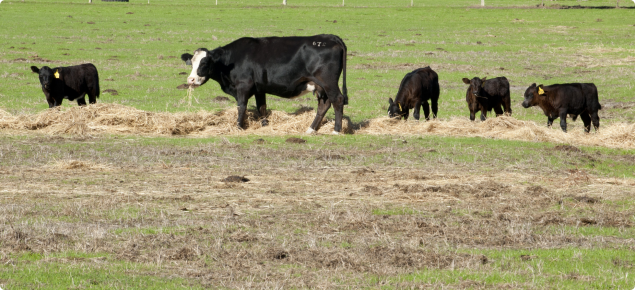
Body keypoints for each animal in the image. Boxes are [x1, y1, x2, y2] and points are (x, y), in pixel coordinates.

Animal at [180, 34, 348, 134]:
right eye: (192, 63)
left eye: (204, 63)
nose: (191, 80)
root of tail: (330, 37)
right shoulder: (259, 89)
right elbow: (261, 108)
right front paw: (265, 126)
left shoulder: (243, 86)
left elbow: (241, 107)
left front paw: (238, 127)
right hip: (321, 86)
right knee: (324, 105)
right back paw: (311, 130)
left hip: (328, 82)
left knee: (338, 100)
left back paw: (336, 130)